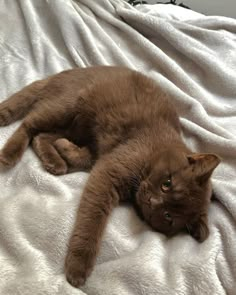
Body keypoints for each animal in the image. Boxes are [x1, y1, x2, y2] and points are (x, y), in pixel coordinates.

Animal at [0, 66, 220, 290]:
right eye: (167, 184)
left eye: (168, 216)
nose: (152, 200)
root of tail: (62, 74)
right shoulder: (109, 171)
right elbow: (92, 221)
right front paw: (78, 267)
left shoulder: (101, 156)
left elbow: (83, 157)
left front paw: (65, 151)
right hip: (67, 107)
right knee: (29, 124)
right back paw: (10, 154)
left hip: (74, 126)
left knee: (41, 136)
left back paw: (55, 162)